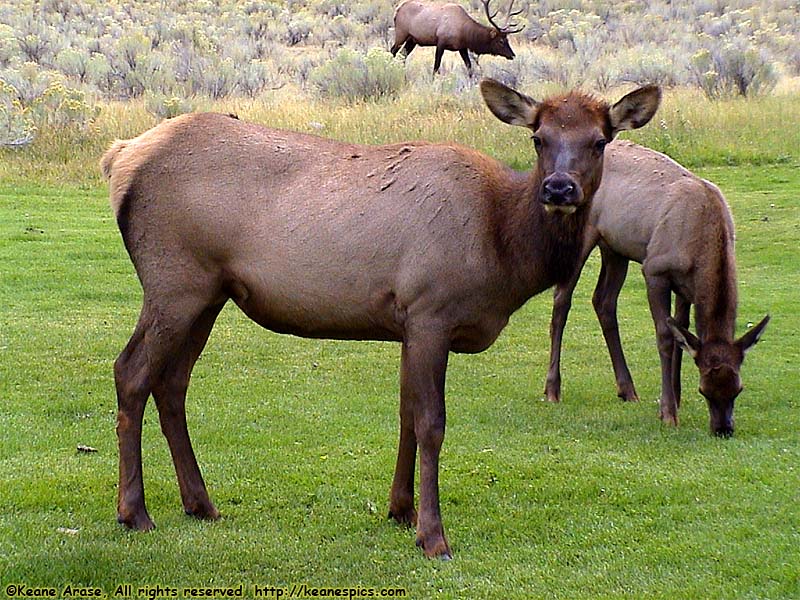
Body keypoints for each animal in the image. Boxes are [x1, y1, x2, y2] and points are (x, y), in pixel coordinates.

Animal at [101, 78, 664, 556]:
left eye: (600, 141)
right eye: (538, 138)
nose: (559, 189)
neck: (503, 251)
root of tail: (120, 157)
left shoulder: (407, 324)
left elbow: (405, 416)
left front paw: (401, 510)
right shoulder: (431, 310)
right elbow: (432, 423)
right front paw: (433, 536)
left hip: (207, 294)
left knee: (172, 382)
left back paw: (200, 503)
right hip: (174, 282)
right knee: (131, 372)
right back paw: (134, 512)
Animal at [390, 0, 524, 74]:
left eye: (507, 39)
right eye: (501, 41)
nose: (512, 55)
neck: (464, 33)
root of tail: (397, 11)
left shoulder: (462, 47)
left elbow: (469, 66)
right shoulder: (441, 42)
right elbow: (436, 66)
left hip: (412, 40)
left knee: (403, 56)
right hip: (401, 34)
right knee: (393, 51)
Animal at [544, 139, 768, 436]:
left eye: (738, 389)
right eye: (704, 390)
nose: (723, 429)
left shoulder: (686, 287)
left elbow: (681, 330)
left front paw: (675, 396)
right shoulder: (655, 270)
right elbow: (665, 335)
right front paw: (668, 411)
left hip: (615, 247)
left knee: (603, 301)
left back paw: (627, 389)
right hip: (584, 234)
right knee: (562, 300)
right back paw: (552, 390)